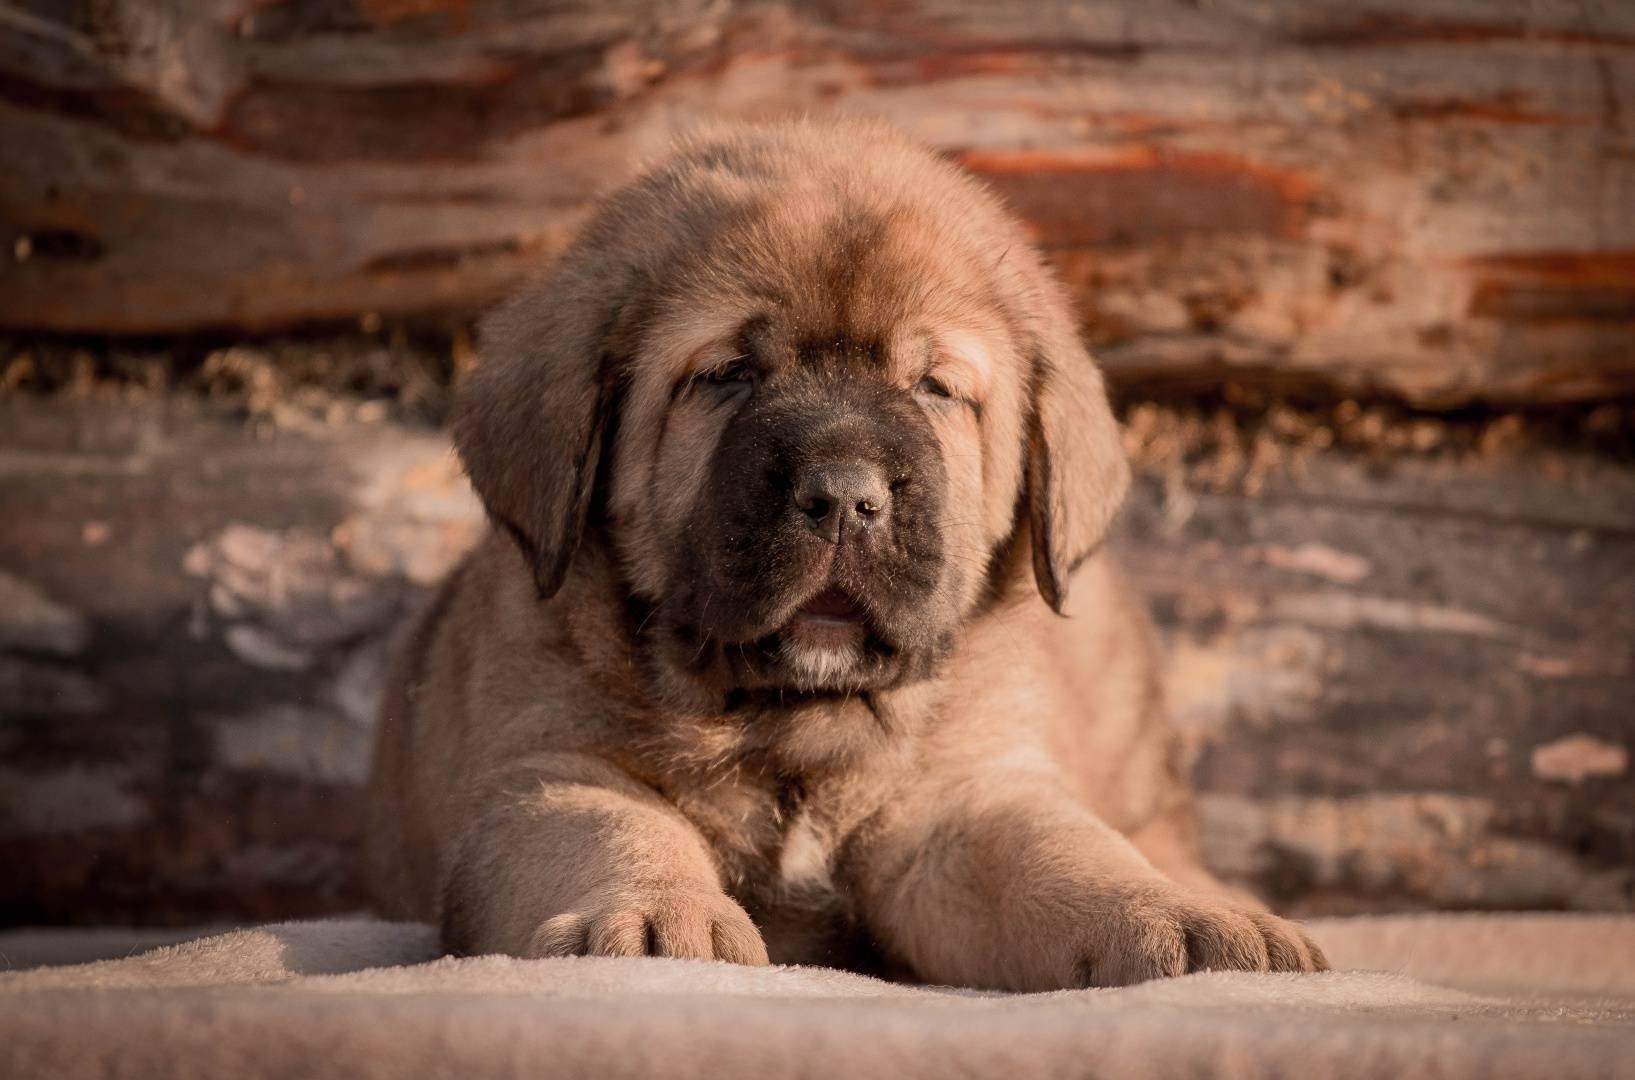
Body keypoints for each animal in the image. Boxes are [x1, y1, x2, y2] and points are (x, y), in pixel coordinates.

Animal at [364, 116, 1321, 986]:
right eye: (727, 375)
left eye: (933, 387)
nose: (843, 496)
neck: (798, 728)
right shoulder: (548, 771)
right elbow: (611, 831)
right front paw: (652, 913)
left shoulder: (961, 804)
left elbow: (1065, 853)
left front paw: (1181, 917)